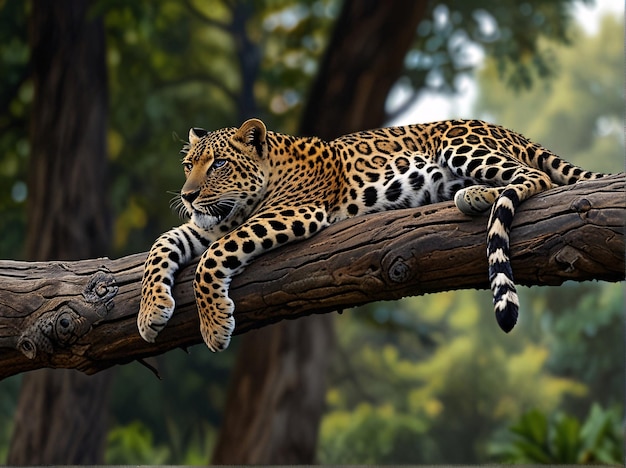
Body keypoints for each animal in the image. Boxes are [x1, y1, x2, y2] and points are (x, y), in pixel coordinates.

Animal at [138, 119, 604, 352]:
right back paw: (471, 196)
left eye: (218, 164)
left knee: (537, 177)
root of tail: (509, 130)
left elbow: (212, 257)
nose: (188, 195)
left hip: (461, 144)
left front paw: (215, 326)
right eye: (189, 165)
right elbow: (161, 244)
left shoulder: (293, 211)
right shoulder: (206, 223)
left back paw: (478, 194)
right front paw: (150, 312)